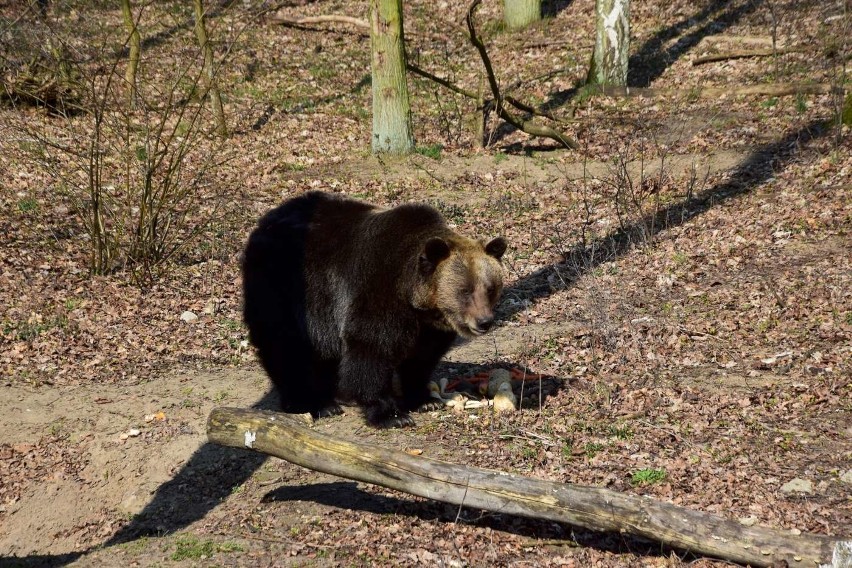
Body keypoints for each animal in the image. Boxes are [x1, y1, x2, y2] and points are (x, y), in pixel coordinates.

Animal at [240, 191, 506, 426]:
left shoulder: (428, 328)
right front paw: (391, 414)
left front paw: (423, 399)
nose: (484, 321)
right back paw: (313, 403)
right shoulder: (377, 291)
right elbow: (371, 350)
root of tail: (267, 219)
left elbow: (422, 358)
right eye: (465, 290)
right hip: (284, 286)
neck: (413, 297)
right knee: (285, 345)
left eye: (490, 288)